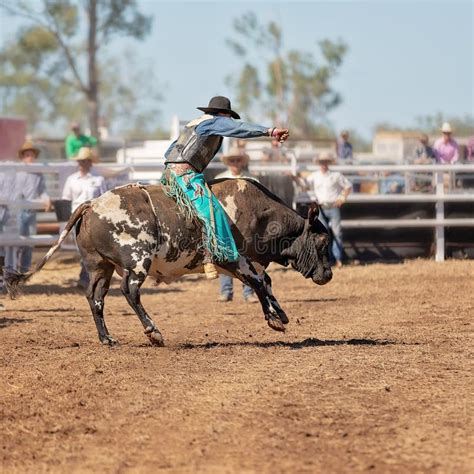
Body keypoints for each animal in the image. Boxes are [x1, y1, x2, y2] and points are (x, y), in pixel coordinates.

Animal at [3, 178, 332, 344]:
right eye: (323, 242)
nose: (328, 275)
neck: (259, 212)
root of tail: (91, 205)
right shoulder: (237, 259)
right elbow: (259, 282)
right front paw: (274, 319)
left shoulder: (244, 262)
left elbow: (265, 282)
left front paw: (281, 314)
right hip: (137, 261)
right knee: (130, 292)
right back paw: (153, 332)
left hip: (99, 266)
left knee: (95, 297)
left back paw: (107, 338)